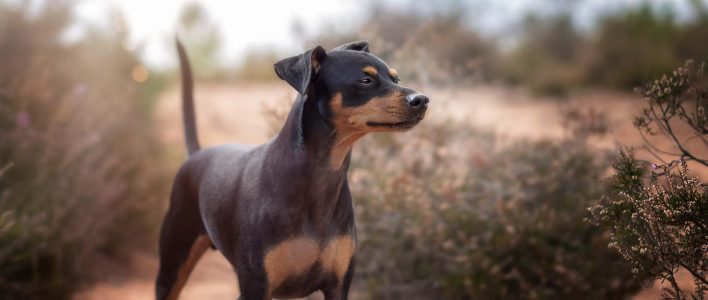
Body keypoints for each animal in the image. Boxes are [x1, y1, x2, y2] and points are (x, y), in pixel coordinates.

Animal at [157, 39, 428, 300]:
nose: (423, 100)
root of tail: (197, 154)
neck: (318, 177)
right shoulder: (255, 288)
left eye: (396, 79)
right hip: (172, 265)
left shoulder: (338, 286)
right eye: (365, 80)